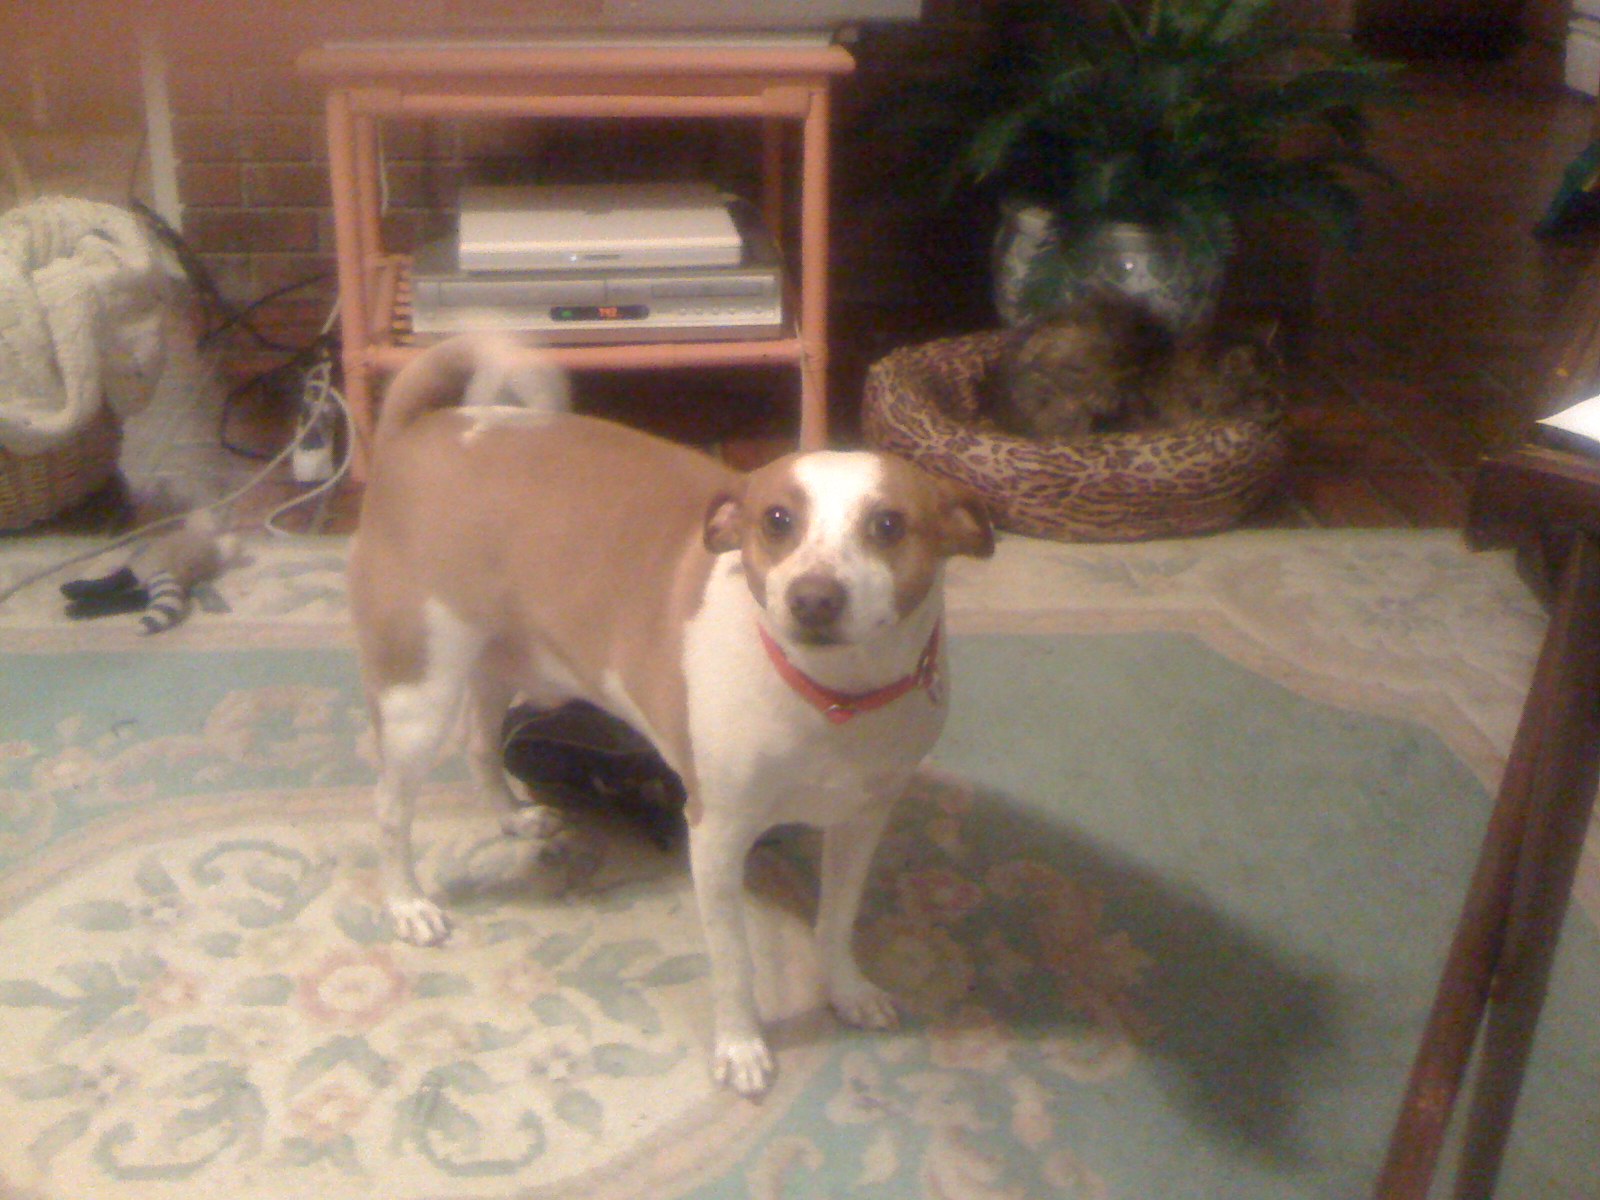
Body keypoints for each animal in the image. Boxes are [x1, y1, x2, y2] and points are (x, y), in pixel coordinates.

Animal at [348, 336, 994, 1097]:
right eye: (777, 520)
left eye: (888, 524)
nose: (812, 598)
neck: (831, 697)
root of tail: (422, 431)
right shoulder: (715, 838)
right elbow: (735, 965)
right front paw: (742, 1046)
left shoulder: (861, 824)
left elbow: (837, 921)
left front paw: (845, 989)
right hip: (417, 695)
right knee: (388, 810)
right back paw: (408, 906)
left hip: (498, 661)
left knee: (480, 744)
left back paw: (512, 817)